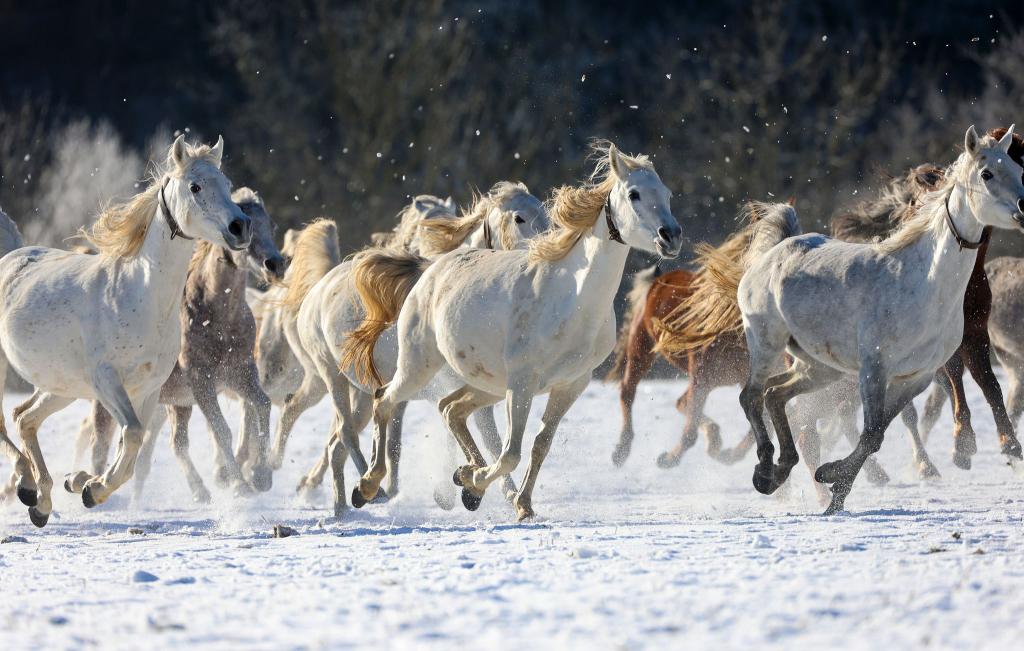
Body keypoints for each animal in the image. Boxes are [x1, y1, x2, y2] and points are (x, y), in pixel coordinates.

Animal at [0, 135, 251, 528]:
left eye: (226, 184)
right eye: (195, 186)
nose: (240, 227)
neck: (140, 295)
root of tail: (9, 257)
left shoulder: (148, 389)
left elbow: (132, 448)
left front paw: (86, 485)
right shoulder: (108, 381)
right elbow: (131, 435)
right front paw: (91, 489)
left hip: (63, 386)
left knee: (24, 419)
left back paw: (38, 501)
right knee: (9, 420)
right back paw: (29, 485)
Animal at [348, 145, 684, 522]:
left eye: (667, 194)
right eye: (634, 193)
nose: (671, 236)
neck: (573, 299)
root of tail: (432, 269)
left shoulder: (571, 385)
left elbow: (539, 446)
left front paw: (517, 502)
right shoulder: (523, 383)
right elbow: (510, 451)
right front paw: (482, 486)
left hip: (488, 384)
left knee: (451, 409)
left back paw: (462, 477)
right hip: (419, 366)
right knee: (385, 400)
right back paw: (366, 487)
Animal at [737, 126, 1024, 513]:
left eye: (1018, 169)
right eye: (987, 173)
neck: (924, 283)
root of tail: (775, 251)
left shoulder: (916, 377)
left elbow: (877, 434)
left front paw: (834, 486)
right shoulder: (874, 368)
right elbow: (872, 432)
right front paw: (833, 487)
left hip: (819, 366)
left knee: (776, 395)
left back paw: (782, 468)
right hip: (766, 343)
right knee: (752, 396)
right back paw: (766, 471)